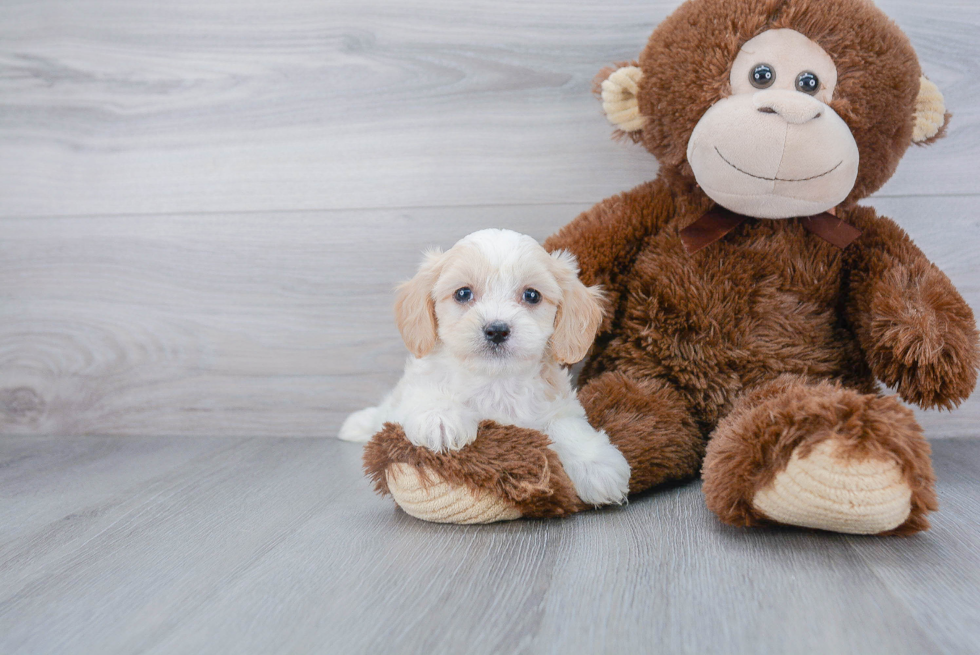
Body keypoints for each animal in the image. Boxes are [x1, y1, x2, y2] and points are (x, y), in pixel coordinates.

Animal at [340, 227, 632, 508]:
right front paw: (441, 418)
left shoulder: (558, 404)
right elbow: (427, 394)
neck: (495, 381)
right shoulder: (417, 387)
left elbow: (568, 425)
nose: (497, 329)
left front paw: (597, 464)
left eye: (532, 295)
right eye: (463, 293)